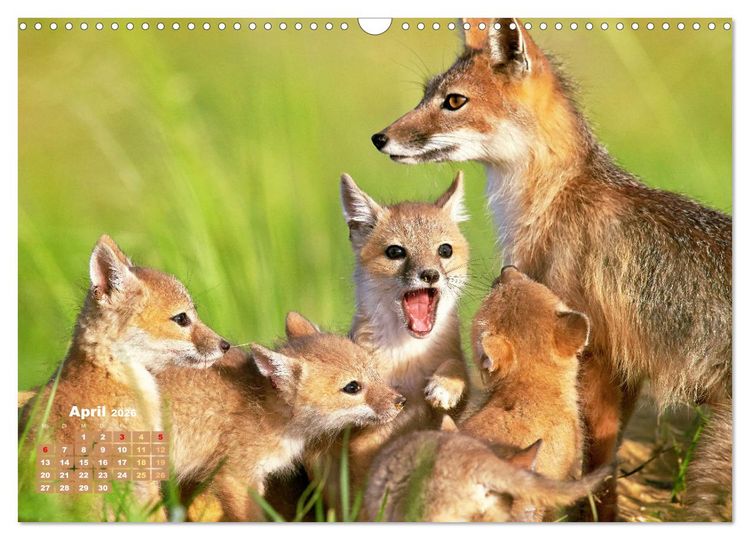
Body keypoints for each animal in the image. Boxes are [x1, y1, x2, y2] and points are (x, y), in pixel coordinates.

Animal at [305, 172, 470, 502]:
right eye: (396, 252)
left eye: (444, 250)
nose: (430, 274)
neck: (408, 357)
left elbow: (457, 368)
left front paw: (444, 386)